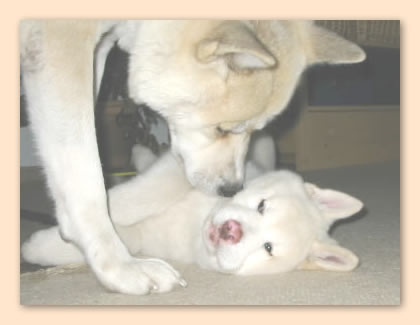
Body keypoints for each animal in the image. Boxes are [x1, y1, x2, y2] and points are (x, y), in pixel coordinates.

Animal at [20, 20, 364, 294]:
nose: (231, 190)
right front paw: (116, 261)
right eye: (224, 128)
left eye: (268, 249)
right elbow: (92, 178)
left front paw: (49, 243)